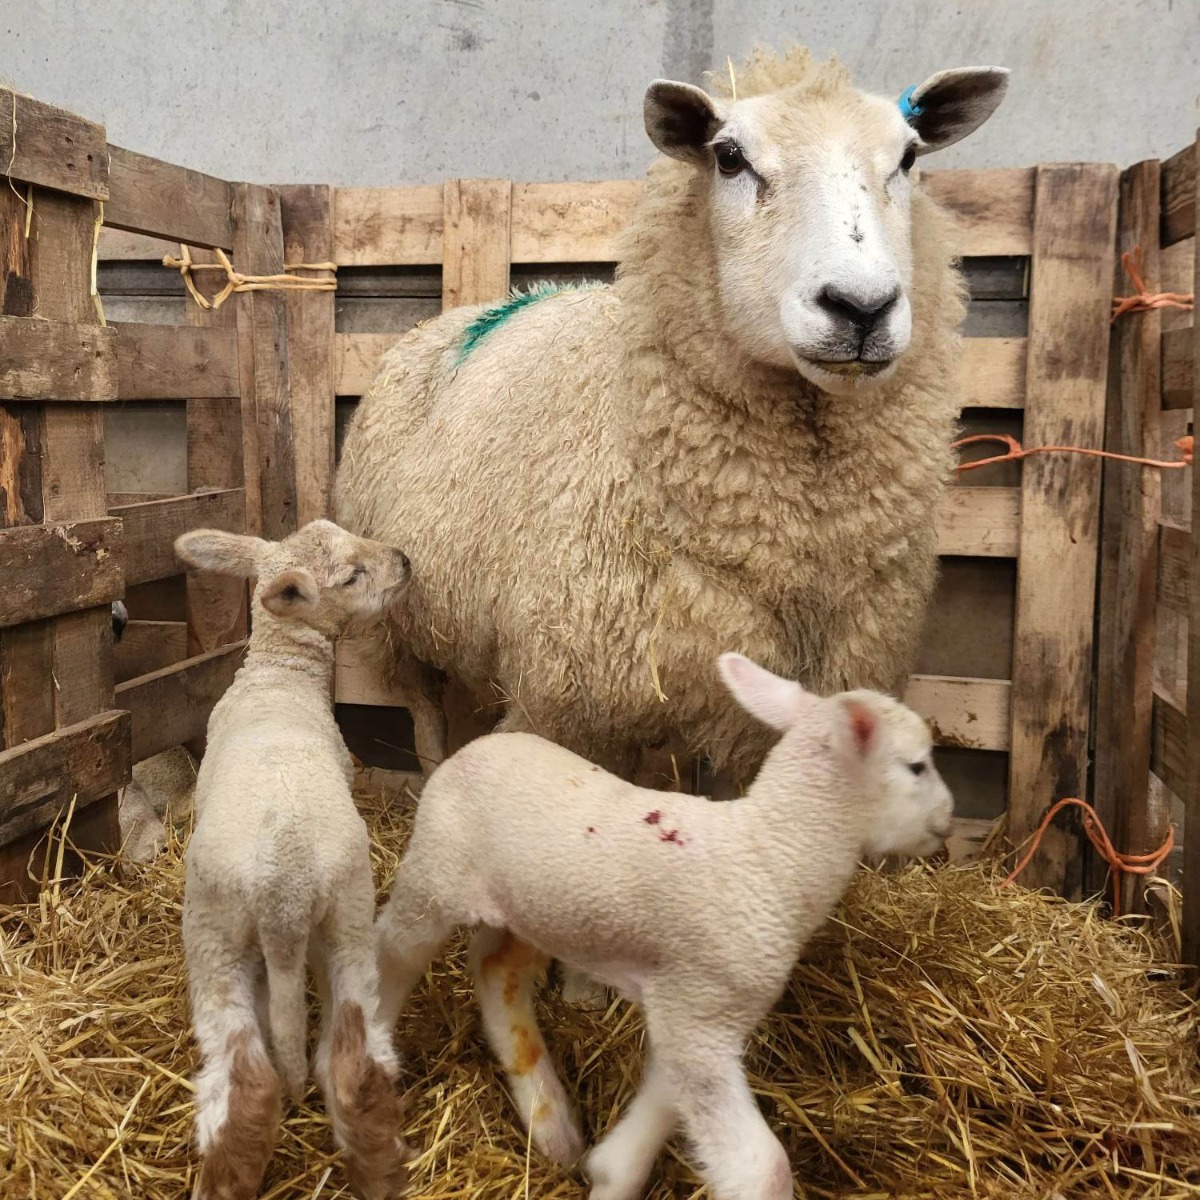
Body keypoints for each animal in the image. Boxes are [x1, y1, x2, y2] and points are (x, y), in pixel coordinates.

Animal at [175, 523, 415, 1200]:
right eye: (351, 575)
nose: (405, 562)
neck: (278, 677)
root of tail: (286, 886)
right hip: (350, 922)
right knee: (352, 1071)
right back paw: (382, 1175)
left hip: (216, 937)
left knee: (249, 1083)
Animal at [333, 46, 1008, 782]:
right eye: (729, 157)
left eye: (909, 157)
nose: (862, 307)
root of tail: (463, 313)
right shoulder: (568, 703)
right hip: (401, 617)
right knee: (424, 711)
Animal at [374, 657, 955, 1200]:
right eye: (917, 766)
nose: (948, 821)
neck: (770, 852)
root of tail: (474, 748)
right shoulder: (700, 1017)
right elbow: (762, 1168)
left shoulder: (695, 1015)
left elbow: (656, 1108)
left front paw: (610, 1173)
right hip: (435, 877)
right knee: (391, 952)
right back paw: (376, 1057)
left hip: (528, 912)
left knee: (496, 974)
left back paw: (553, 1124)